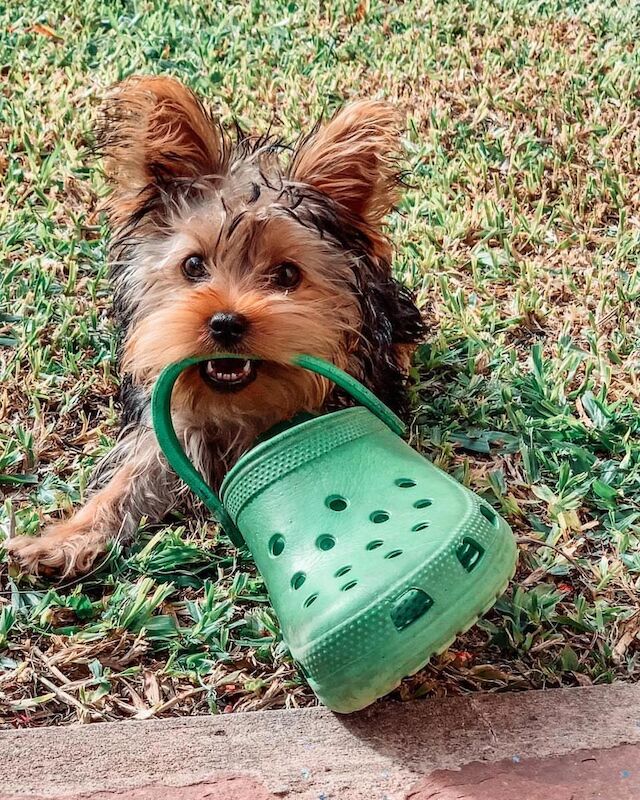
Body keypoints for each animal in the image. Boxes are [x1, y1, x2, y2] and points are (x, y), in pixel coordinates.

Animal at [7, 76, 424, 576]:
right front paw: (64, 539)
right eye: (192, 265)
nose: (226, 322)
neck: (236, 405)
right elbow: (130, 478)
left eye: (287, 275)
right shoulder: (168, 424)